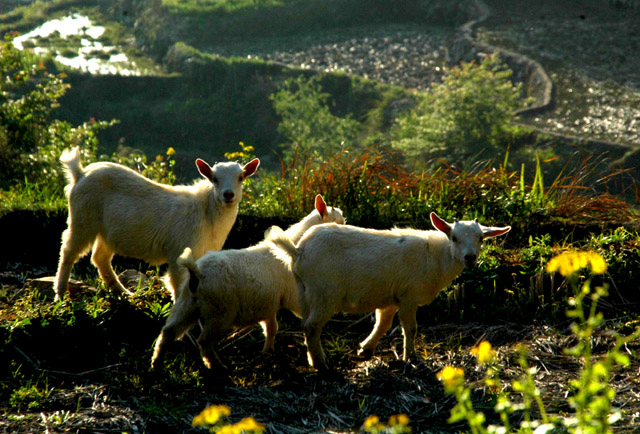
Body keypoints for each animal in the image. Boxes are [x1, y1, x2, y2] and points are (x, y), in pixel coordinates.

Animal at [54, 147, 260, 300]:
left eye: (241, 177)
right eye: (214, 179)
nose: (228, 195)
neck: (206, 212)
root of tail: (80, 174)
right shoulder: (178, 253)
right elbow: (178, 285)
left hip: (106, 232)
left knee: (100, 258)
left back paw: (124, 293)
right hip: (83, 220)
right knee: (68, 251)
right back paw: (61, 295)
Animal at [150, 195, 344, 372]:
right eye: (339, 222)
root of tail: (197, 273)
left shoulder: (269, 304)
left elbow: (272, 328)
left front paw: (268, 351)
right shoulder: (295, 297)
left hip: (187, 304)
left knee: (168, 332)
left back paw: (156, 365)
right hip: (220, 313)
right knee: (203, 342)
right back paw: (218, 367)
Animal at [268, 212, 510, 372]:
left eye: (481, 238)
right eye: (454, 238)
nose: (470, 257)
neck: (436, 256)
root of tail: (298, 251)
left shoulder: (391, 297)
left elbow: (383, 324)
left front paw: (365, 349)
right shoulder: (409, 296)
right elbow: (410, 328)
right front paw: (410, 357)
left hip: (305, 292)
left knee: (306, 325)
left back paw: (313, 358)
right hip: (325, 293)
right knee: (312, 326)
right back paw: (321, 363)